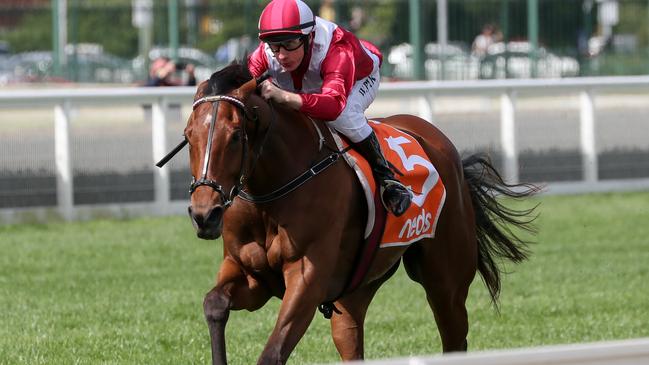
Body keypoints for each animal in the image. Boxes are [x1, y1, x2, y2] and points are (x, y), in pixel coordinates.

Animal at [157, 61, 536, 362]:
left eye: (235, 136)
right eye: (188, 135)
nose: (204, 214)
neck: (271, 193)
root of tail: (441, 143)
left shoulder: (307, 279)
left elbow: (273, 352)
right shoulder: (250, 274)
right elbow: (214, 304)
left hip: (446, 281)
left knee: (454, 337)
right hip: (356, 290)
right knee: (351, 336)